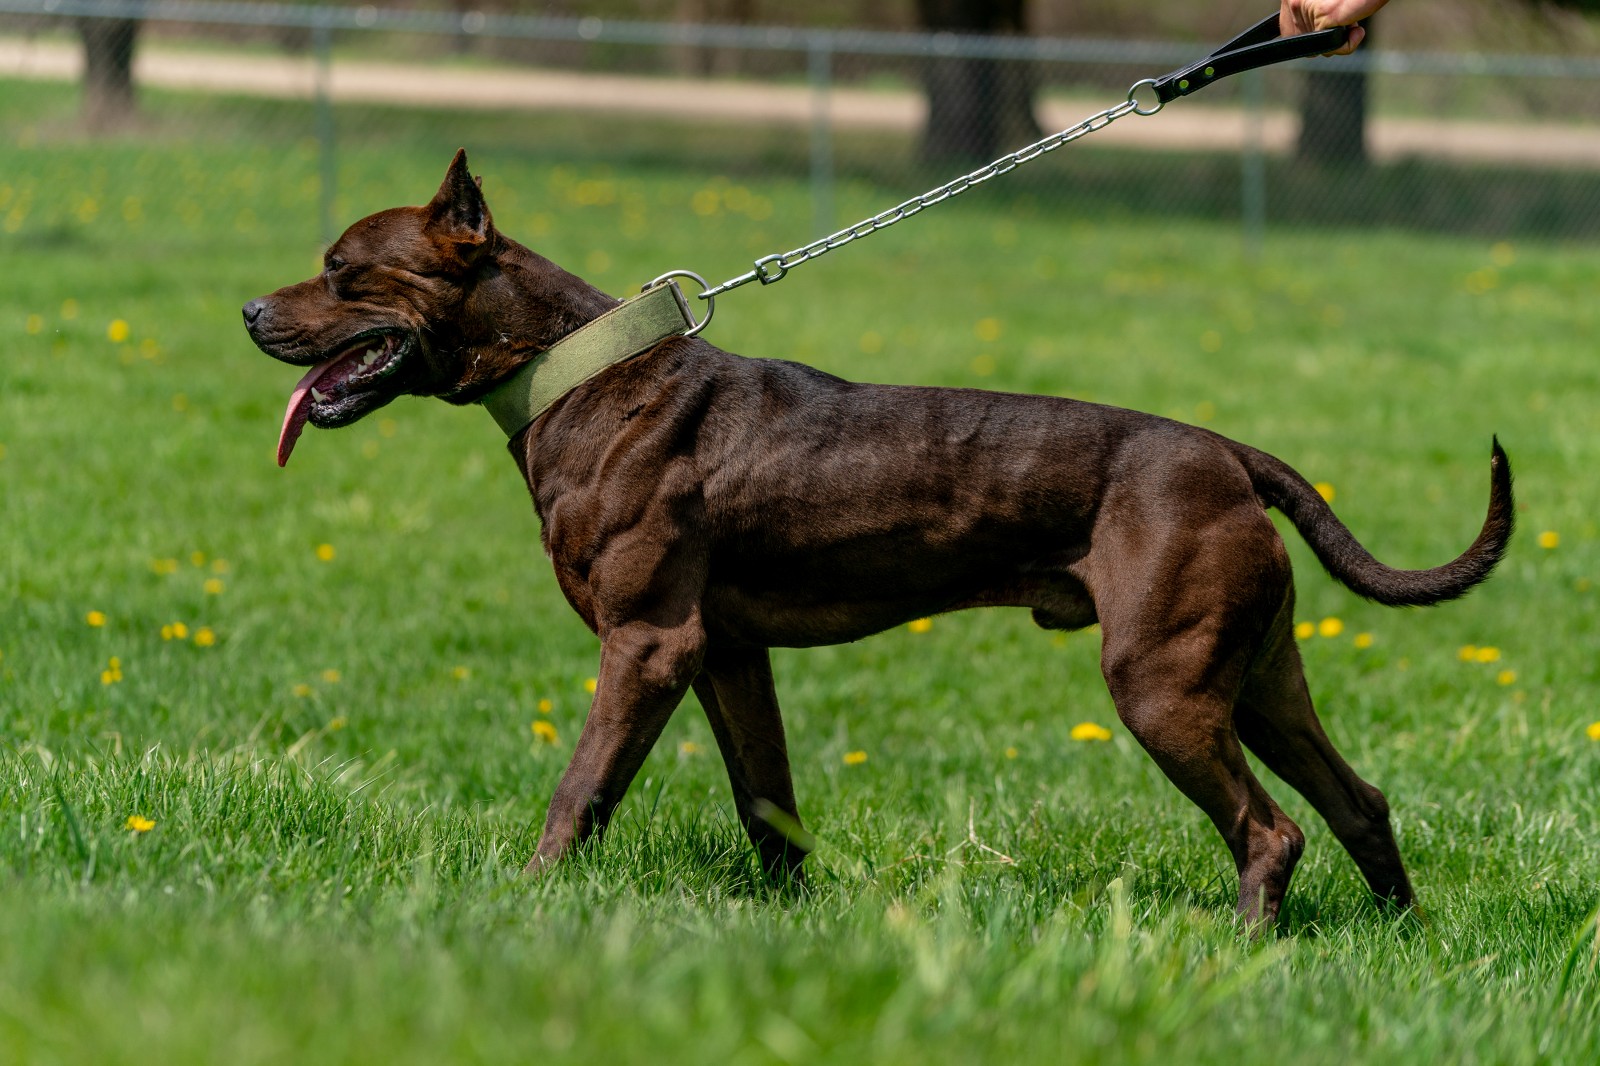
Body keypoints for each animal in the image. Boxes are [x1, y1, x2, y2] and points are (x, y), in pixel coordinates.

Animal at [240, 153, 1510, 928]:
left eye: (344, 272)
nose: (249, 311)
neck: (578, 373)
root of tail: (1230, 455)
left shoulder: (647, 645)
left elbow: (581, 789)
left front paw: (530, 896)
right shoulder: (724, 653)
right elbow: (768, 803)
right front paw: (793, 916)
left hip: (1164, 683)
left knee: (1272, 829)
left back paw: (1245, 945)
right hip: (1255, 676)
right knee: (1356, 801)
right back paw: (1395, 936)